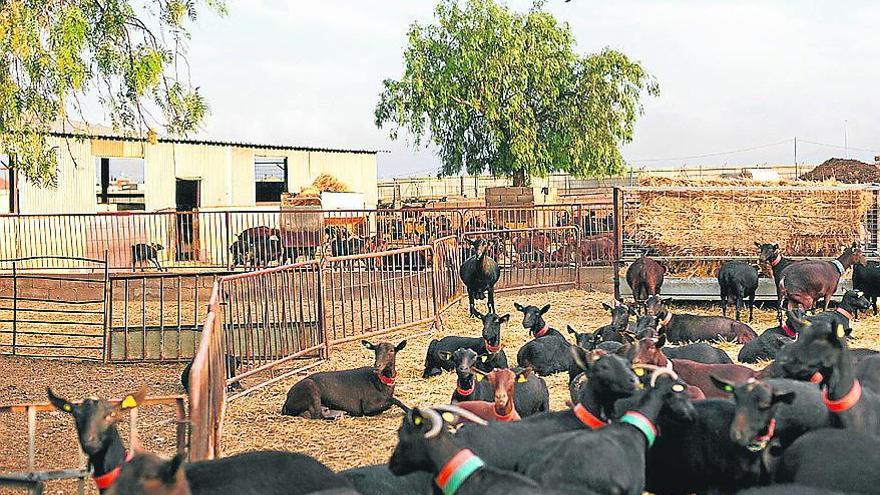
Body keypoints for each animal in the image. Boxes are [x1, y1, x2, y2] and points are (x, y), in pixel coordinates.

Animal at [280, 342, 408, 420]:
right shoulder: (367, 406)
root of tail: (287, 402)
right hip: (311, 390)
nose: (377, 365)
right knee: (317, 415)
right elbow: (394, 401)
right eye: (375, 350)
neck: (381, 383)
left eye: (391, 351)